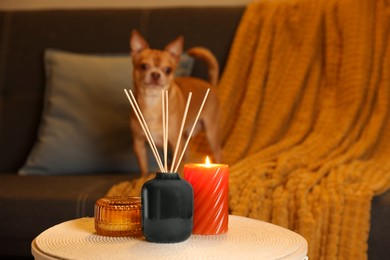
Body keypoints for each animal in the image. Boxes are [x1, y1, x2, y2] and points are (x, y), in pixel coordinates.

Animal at [130, 30, 222, 177]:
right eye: (143, 66)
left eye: (168, 70)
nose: (155, 74)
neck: (152, 102)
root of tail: (210, 85)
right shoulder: (139, 144)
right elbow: (143, 168)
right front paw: (142, 179)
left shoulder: (175, 144)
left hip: (211, 132)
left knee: (218, 152)